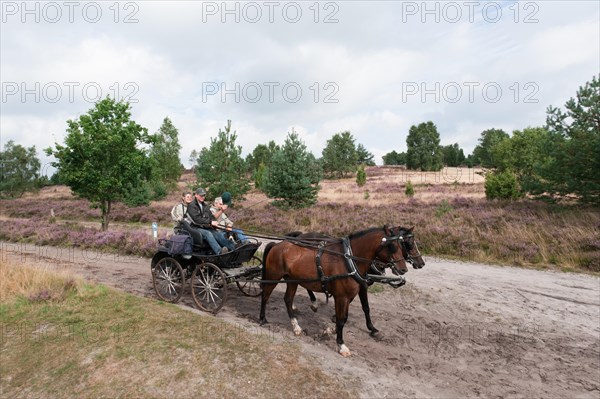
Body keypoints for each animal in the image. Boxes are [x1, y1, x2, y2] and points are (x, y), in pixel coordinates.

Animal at [260, 227, 410, 358]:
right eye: (392, 246)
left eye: (402, 245)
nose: (403, 269)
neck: (349, 260)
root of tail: (277, 245)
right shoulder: (341, 297)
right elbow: (341, 320)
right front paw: (341, 345)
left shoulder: (348, 296)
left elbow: (344, 318)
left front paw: (329, 331)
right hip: (273, 277)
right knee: (265, 295)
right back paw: (262, 319)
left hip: (292, 280)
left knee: (288, 300)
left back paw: (296, 326)